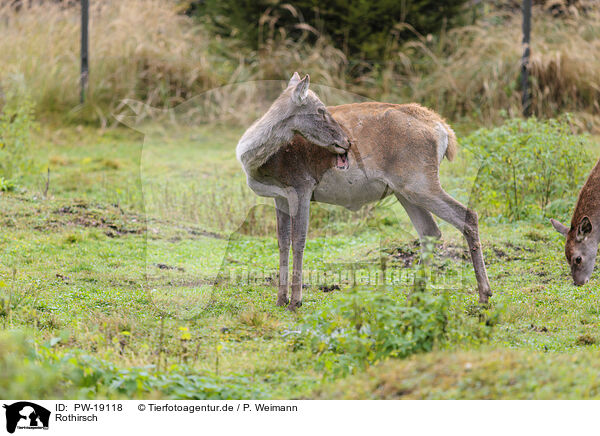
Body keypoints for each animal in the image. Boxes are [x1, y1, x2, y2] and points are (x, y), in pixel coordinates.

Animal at [236, 72, 492, 310]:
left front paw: (296, 301)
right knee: (430, 230)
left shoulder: (302, 186)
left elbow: (298, 240)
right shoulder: (280, 197)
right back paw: (414, 297)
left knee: (468, 216)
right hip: (404, 190)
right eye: (320, 110)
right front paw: (280, 300)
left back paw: (484, 295)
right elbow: (282, 242)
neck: (261, 162)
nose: (346, 143)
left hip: (420, 182)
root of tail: (445, 131)